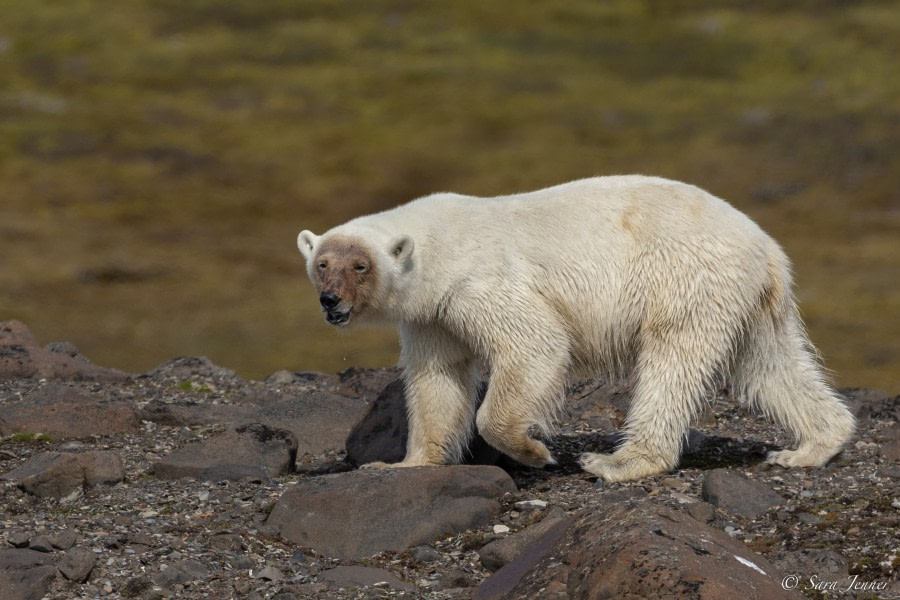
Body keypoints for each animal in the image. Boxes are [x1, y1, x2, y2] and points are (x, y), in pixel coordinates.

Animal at [298, 176, 856, 480]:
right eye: (322, 263)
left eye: (359, 266)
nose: (330, 302)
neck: (439, 245)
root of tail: (766, 246)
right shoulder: (433, 313)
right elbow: (439, 377)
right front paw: (403, 464)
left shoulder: (479, 281)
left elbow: (535, 345)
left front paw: (533, 450)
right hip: (750, 301)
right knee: (770, 363)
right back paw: (809, 446)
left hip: (686, 279)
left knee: (672, 363)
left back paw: (619, 462)